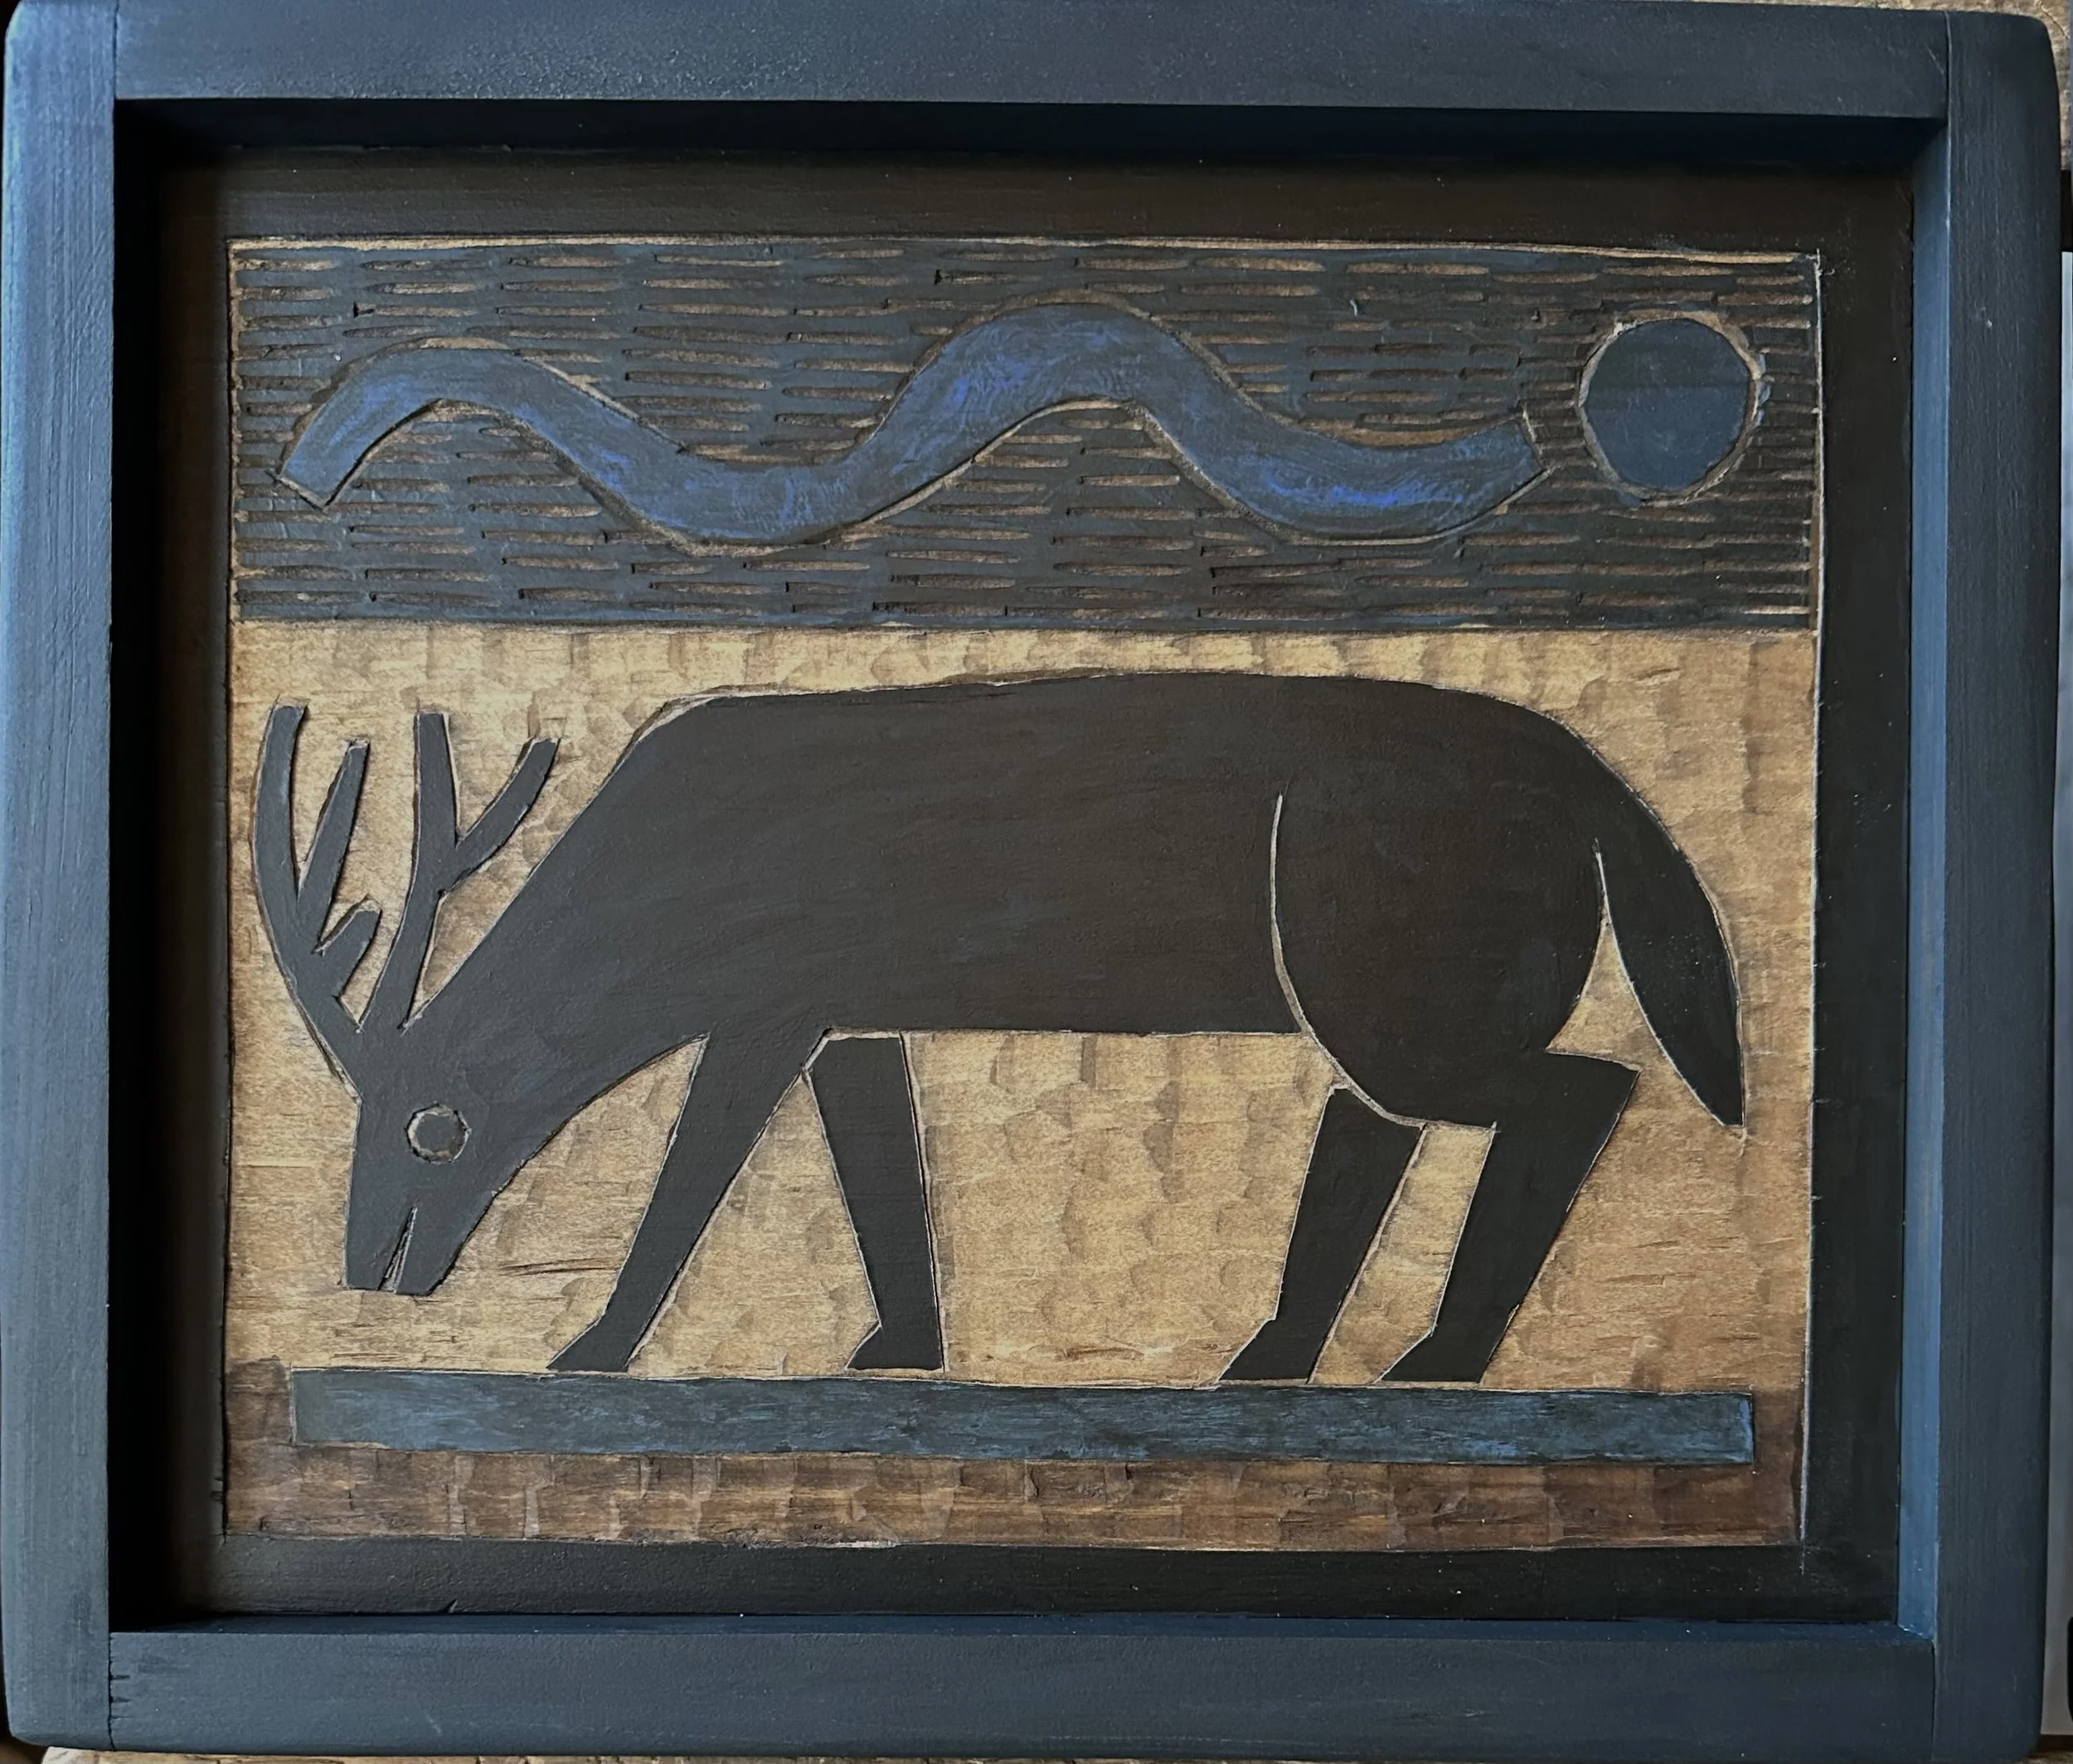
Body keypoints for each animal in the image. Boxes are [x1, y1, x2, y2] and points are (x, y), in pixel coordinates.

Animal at [255, 672, 1743, 1384]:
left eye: (438, 1125)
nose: (375, 1274)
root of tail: (1606, 790)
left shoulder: (762, 1009)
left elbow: (688, 1190)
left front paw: (597, 1347)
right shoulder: (849, 1021)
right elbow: (883, 1183)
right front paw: (902, 1348)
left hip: (1403, 997)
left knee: (1585, 1087)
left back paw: (1440, 1356)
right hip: (1376, 997)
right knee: (1373, 1131)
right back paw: (1279, 1362)